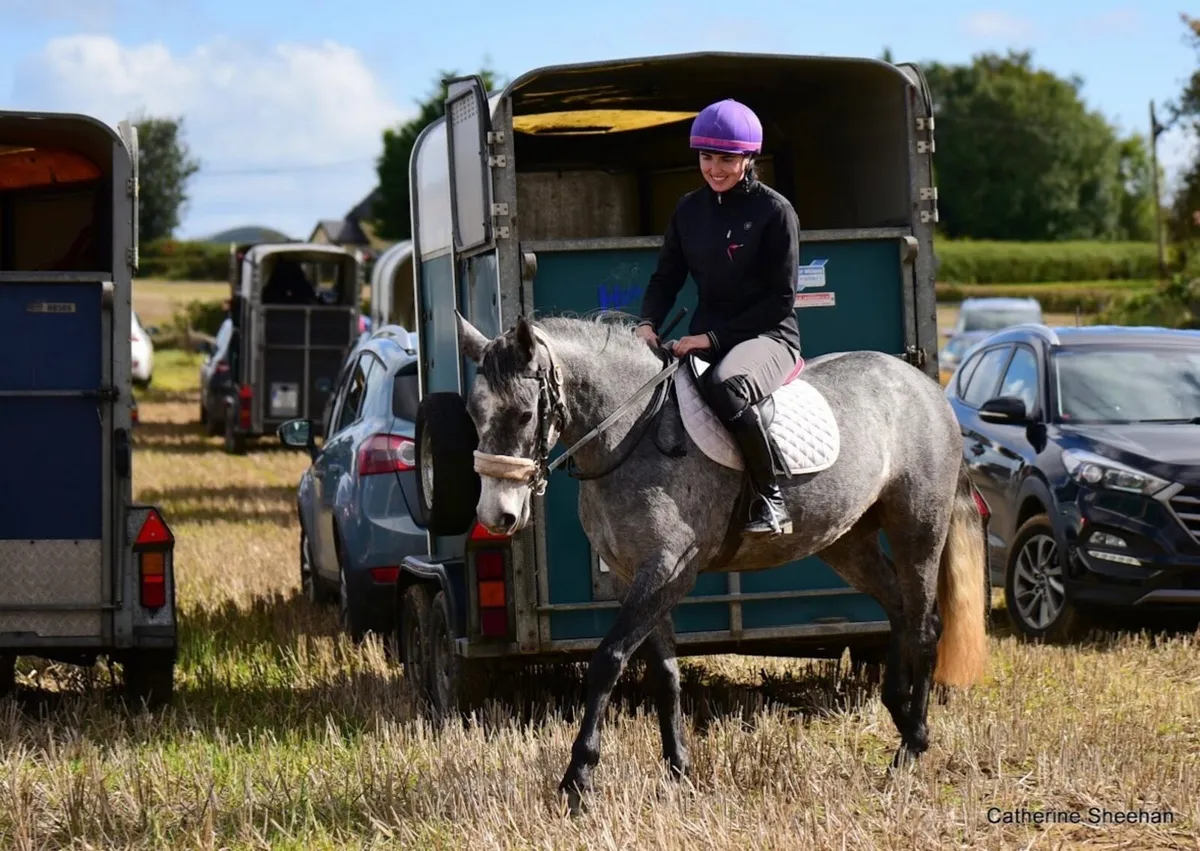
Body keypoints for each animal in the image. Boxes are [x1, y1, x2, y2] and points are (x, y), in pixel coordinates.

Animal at [453, 310, 989, 812]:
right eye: (473, 415)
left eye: (524, 415)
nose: (496, 516)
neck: (632, 431)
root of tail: (922, 384)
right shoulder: (634, 579)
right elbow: (665, 674)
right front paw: (678, 772)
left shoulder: (667, 571)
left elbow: (608, 660)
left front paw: (578, 780)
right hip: (847, 542)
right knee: (898, 607)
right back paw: (900, 713)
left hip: (918, 527)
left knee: (924, 625)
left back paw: (910, 747)